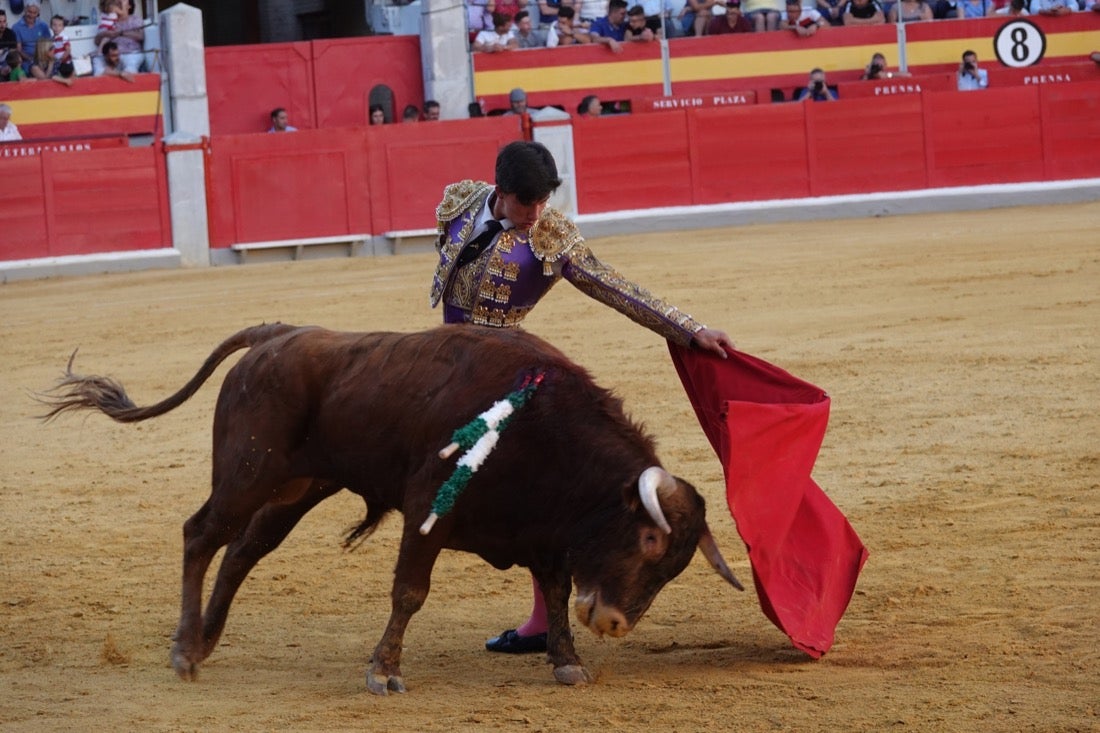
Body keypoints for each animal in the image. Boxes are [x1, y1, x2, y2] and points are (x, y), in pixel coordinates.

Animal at [38, 323, 743, 691]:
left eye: (675, 566)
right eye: (649, 541)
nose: (617, 624)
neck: (545, 428)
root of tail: (280, 334)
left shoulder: (545, 531)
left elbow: (556, 586)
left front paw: (567, 662)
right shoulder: (429, 508)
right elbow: (409, 591)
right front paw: (383, 672)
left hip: (298, 488)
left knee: (242, 550)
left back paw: (207, 640)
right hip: (247, 473)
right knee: (200, 535)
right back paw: (185, 650)